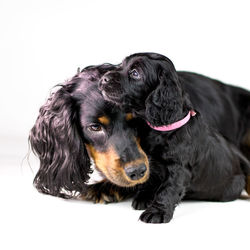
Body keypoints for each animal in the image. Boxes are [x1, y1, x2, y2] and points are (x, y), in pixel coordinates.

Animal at [99, 52, 250, 223]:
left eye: (135, 73)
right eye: (121, 65)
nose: (103, 78)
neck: (162, 129)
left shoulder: (178, 168)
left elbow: (167, 190)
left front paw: (156, 212)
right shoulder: (151, 162)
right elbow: (149, 180)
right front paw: (144, 198)